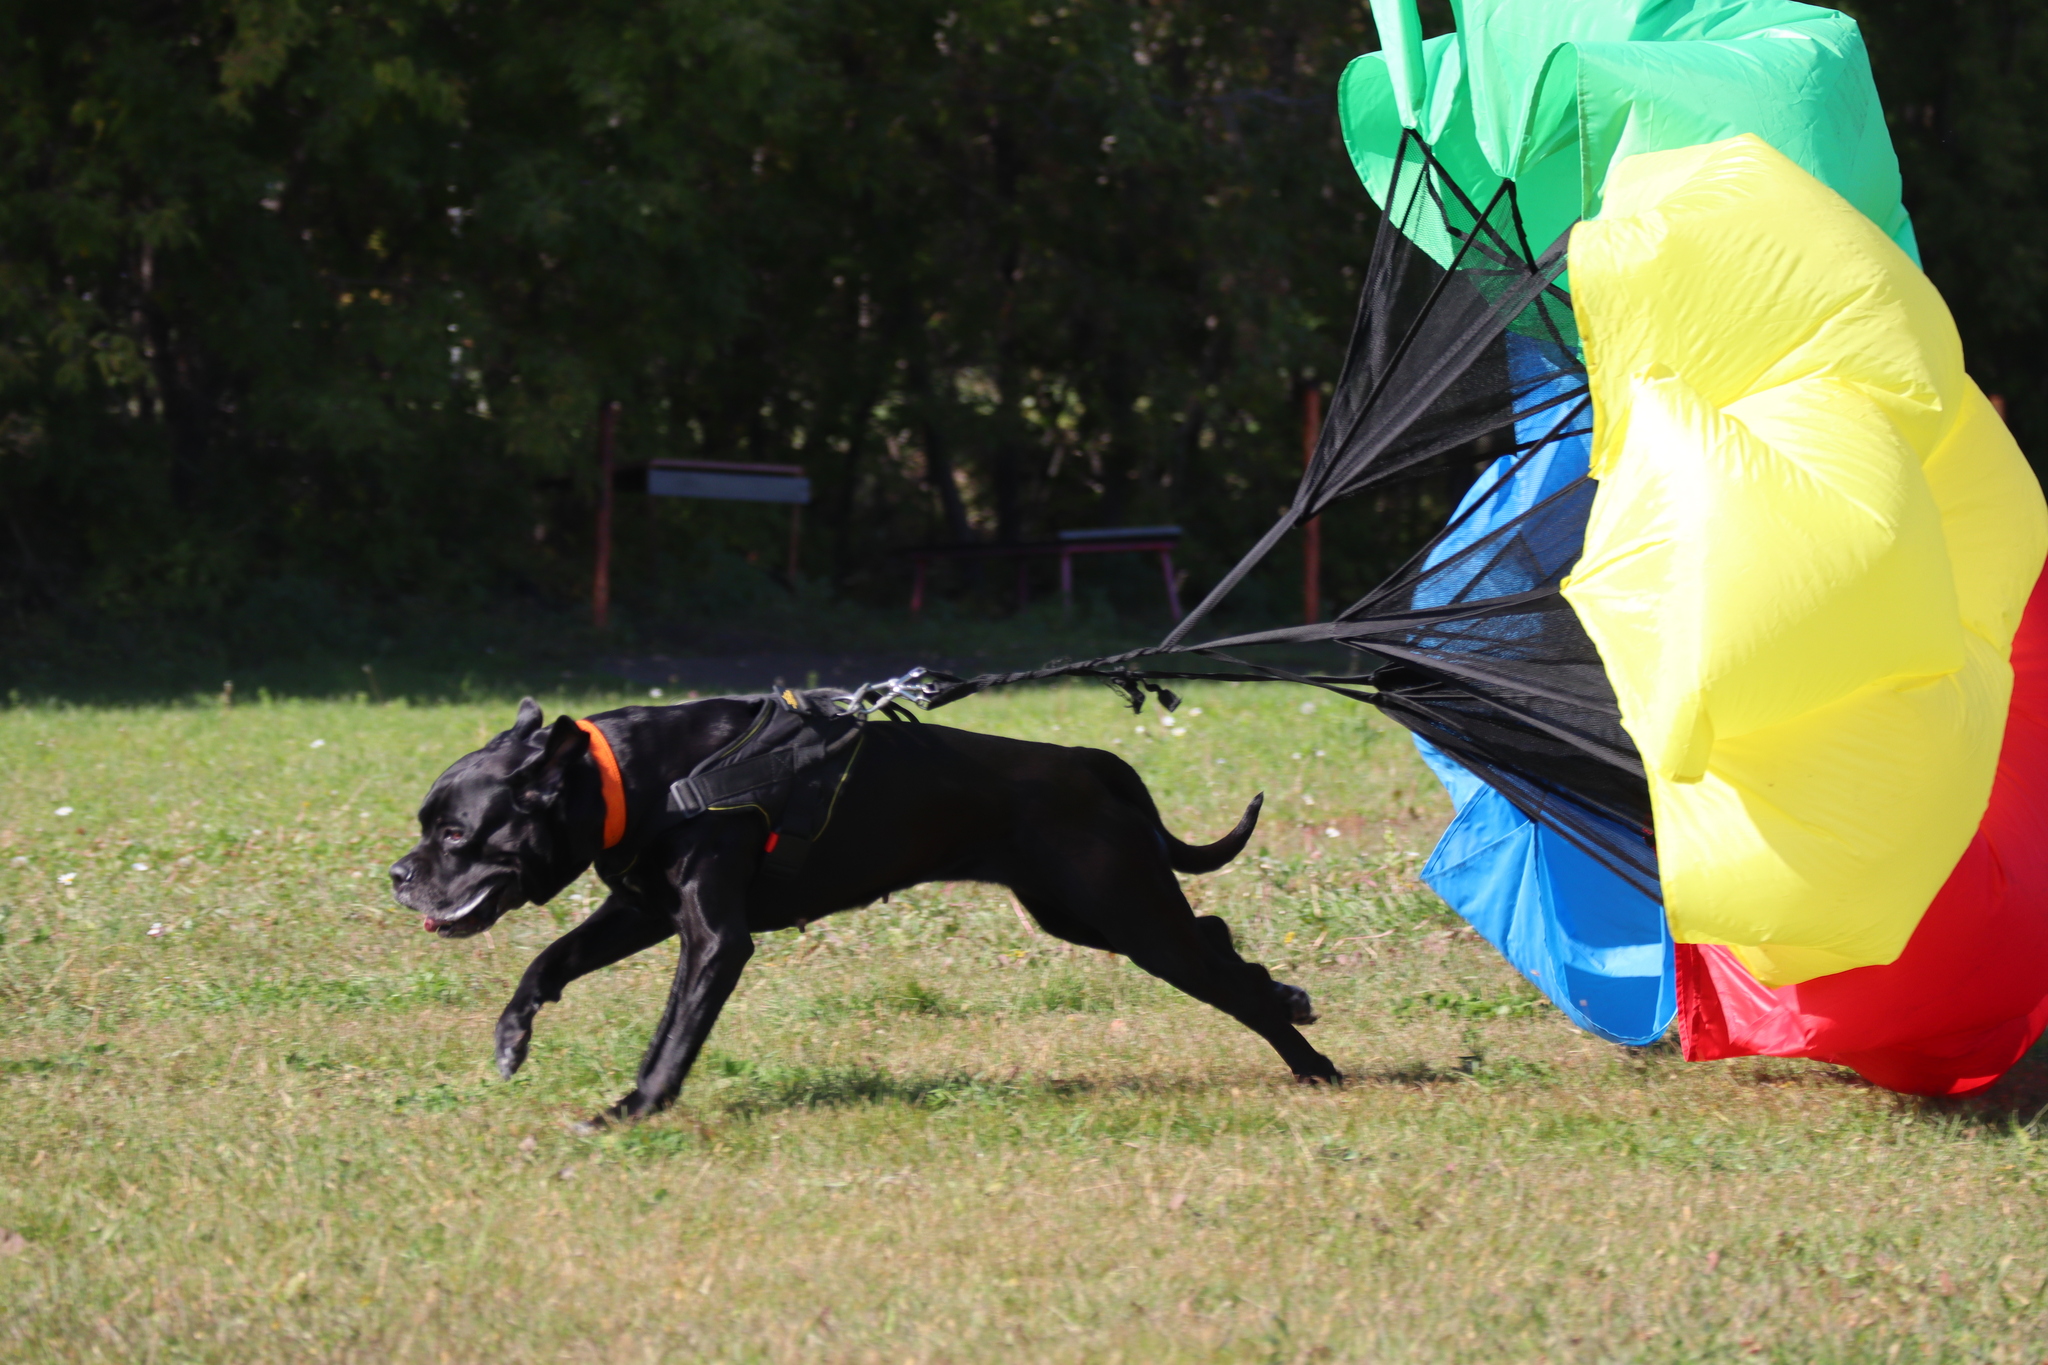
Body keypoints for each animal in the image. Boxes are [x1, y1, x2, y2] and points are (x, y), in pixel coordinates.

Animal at [389, 699, 1335, 1129]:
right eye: (428, 827)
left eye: (456, 831)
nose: (399, 874)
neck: (642, 779)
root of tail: (1088, 760)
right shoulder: (645, 911)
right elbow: (547, 960)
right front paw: (513, 1037)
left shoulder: (713, 940)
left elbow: (671, 1035)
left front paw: (634, 1107)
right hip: (1087, 913)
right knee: (1219, 940)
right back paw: (1290, 1001)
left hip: (1127, 914)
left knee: (1218, 970)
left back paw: (1312, 1060)